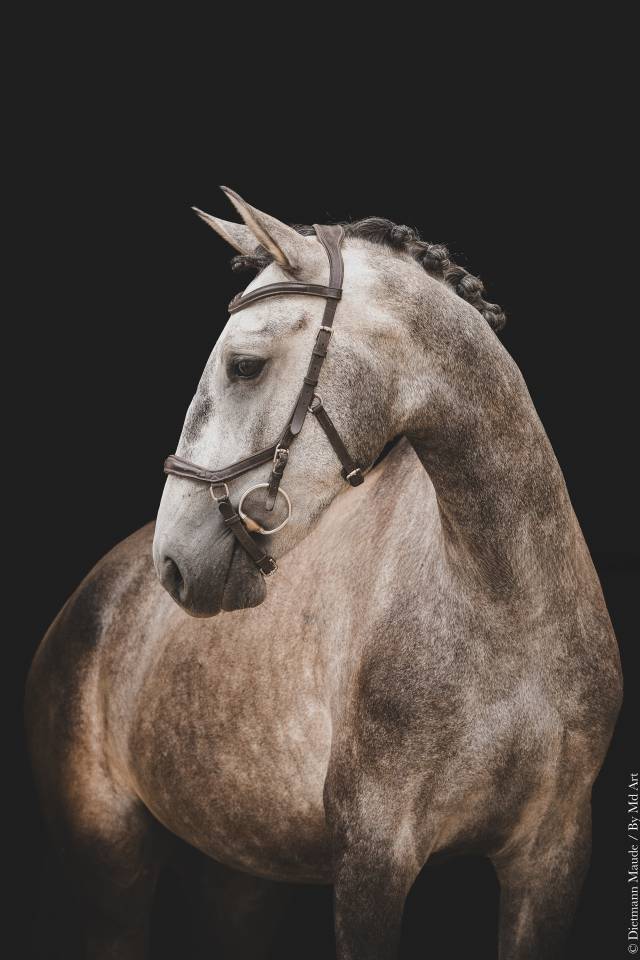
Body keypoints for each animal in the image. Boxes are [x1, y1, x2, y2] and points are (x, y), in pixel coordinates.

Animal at [26, 188, 622, 959]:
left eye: (245, 365)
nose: (174, 563)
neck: (506, 607)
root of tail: (89, 598)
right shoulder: (374, 860)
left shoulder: (552, 856)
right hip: (110, 870)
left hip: (242, 874)